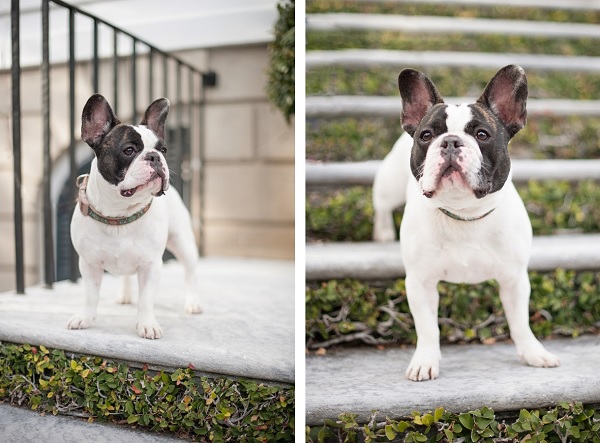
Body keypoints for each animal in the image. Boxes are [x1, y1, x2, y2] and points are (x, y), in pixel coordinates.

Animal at [372, 65, 560, 382]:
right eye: (426, 135)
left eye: (482, 135)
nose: (449, 141)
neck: (464, 214)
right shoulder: (420, 283)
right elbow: (427, 328)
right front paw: (425, 361)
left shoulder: (514, 280)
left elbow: (520, 322)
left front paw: (534, 352)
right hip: (389, 186)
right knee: (381, 206)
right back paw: (383, 232)